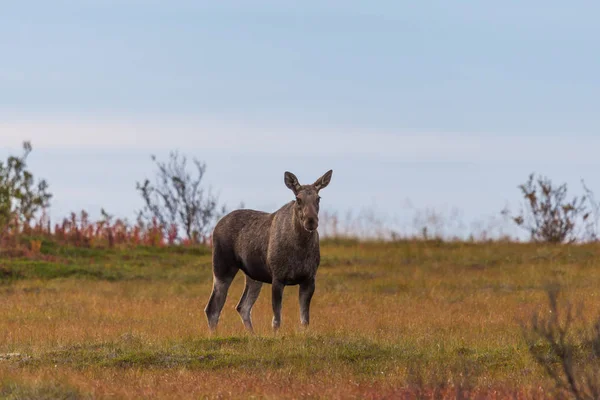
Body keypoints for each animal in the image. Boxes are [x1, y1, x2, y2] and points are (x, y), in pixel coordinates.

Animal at [206, 170, 332, 332]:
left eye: (318, 198)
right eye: (298, 199)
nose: (311, 220)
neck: (300, 247)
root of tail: (216, 226)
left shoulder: (309, 279)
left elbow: (304, 320)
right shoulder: (278, 278)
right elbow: (276, 320)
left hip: (253, 276)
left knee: (242, 307)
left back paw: (252, 334)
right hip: (222, 267)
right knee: (213, 308)